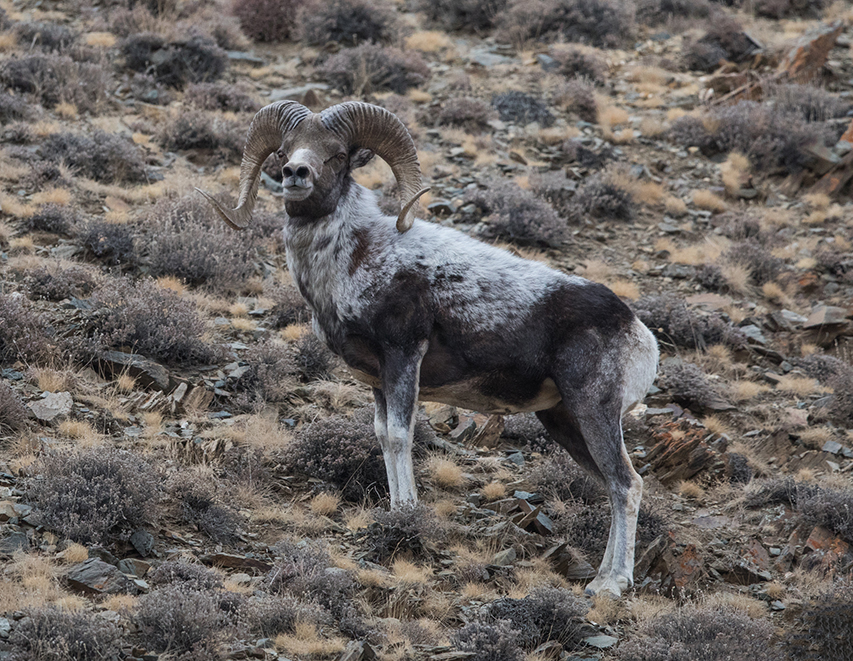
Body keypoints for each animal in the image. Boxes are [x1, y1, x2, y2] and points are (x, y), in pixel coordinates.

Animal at [198, 100, 659, 598]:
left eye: (337, 154)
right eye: (283, 150)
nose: (295, 173)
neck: (356, 259)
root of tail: (639, 334)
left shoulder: (403, 358)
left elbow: (401, 437)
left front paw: (407, 514)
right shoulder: (378, 381)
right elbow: (383, 436)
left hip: (594, 409)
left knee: (626, 484)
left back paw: (612, 584)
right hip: (563, 421)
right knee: (611, 485)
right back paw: (600, 579)